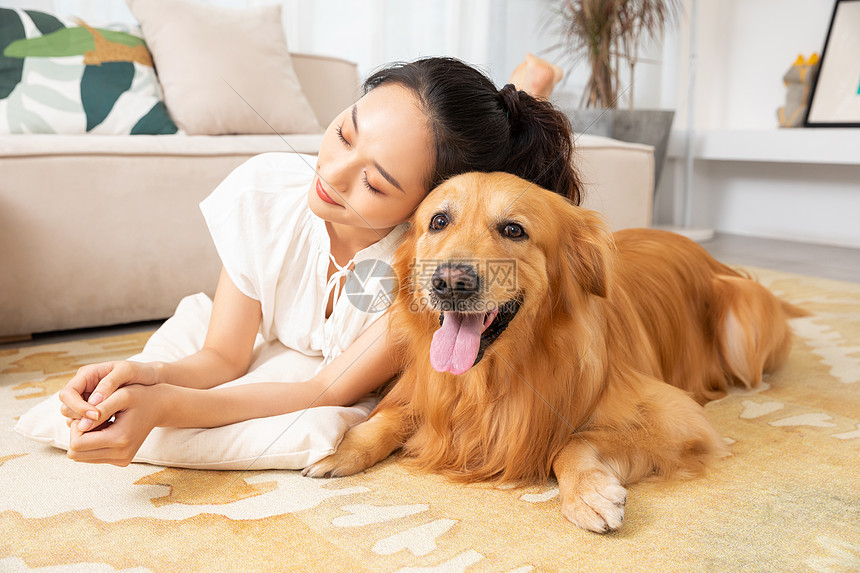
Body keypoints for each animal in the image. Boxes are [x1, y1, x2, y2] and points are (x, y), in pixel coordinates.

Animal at [304, 170, 808, 532]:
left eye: (513, 229)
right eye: (439, 221)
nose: (449, 282)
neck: (496, 377)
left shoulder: (678, 417)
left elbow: (569, 442)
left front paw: (588, 494)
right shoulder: (425, 390)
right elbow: (386, 419)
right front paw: (340, 450)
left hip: (742, 324)